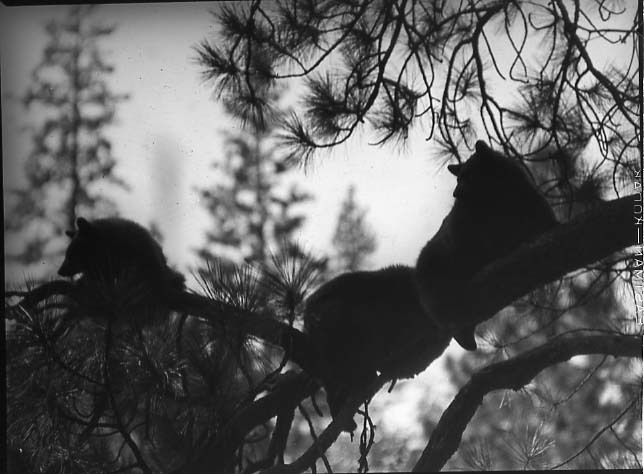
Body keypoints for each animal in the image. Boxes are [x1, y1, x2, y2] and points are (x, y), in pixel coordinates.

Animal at [415, 140, 558, 350]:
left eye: (468, 175)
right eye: (458, 178)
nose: (455, 193)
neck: (495, 198)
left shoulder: (526, 197)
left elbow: (542, 218)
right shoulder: (466, 221)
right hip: (434, 265)